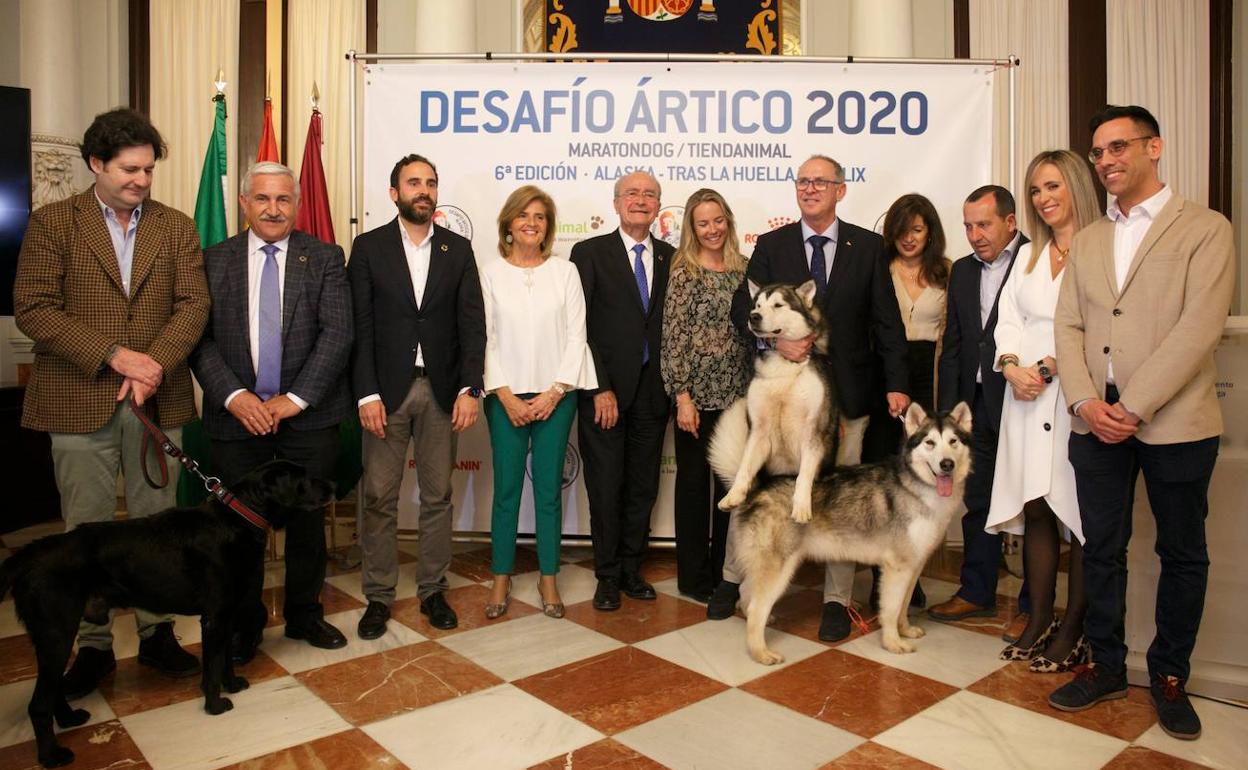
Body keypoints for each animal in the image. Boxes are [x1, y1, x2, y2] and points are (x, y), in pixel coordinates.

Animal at [0, 459, 334, 763]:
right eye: (303, 478)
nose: (332, 486)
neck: (239, 518)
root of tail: (28, 555)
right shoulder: (215, 619)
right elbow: (212, 667)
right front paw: (215, 706)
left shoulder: (224, 616)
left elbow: (225, 660)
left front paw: (233, 686)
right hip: (57, 632)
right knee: (38, 704)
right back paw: (51, 755)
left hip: (50, 639)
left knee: (51, 690)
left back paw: (69, 720)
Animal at [708, 401, 968, 658]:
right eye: (930, 442)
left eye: (953, 441)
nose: (947, 464)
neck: (918, 488)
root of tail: (759, 487)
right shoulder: (897, 568)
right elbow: (892, 609)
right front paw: (893, 643)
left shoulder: (913, 567)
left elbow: (903, 607)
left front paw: (905, 630)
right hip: (779, 570)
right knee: (754, 606)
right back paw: (761, 653)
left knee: (746, 593)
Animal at [713, 279, 838, 526]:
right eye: (757, 305)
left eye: (778, 305)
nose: (753, 316)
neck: (784, 367)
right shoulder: (758, 431)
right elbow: (745, 467)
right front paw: (734, 495)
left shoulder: (813, 431)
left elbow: (804, 475)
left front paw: (801, 505)